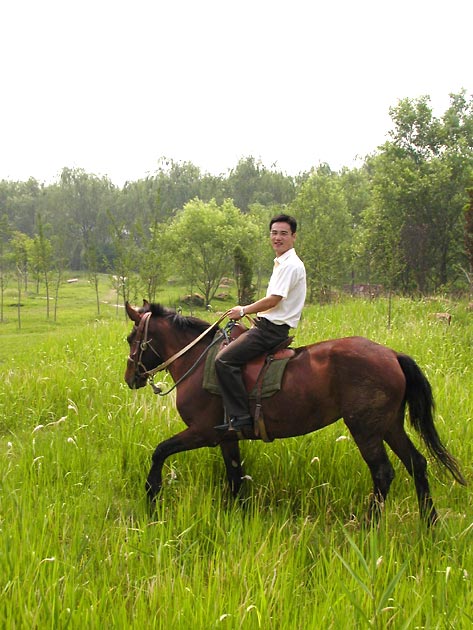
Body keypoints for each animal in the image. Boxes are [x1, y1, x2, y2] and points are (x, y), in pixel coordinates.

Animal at [122, 304, 464, 524]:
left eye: (130, 338)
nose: (130, 378)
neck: (199, 359)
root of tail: (392, 354)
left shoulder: (203, 433)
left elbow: (160, 451)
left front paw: (151, 495)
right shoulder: (227, 437)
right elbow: (235, 476)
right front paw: (238, 516)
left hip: (365, 429)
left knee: (383, 473)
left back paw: (369, 526)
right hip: (390, 426)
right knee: (417, 464)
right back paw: (430, 524)